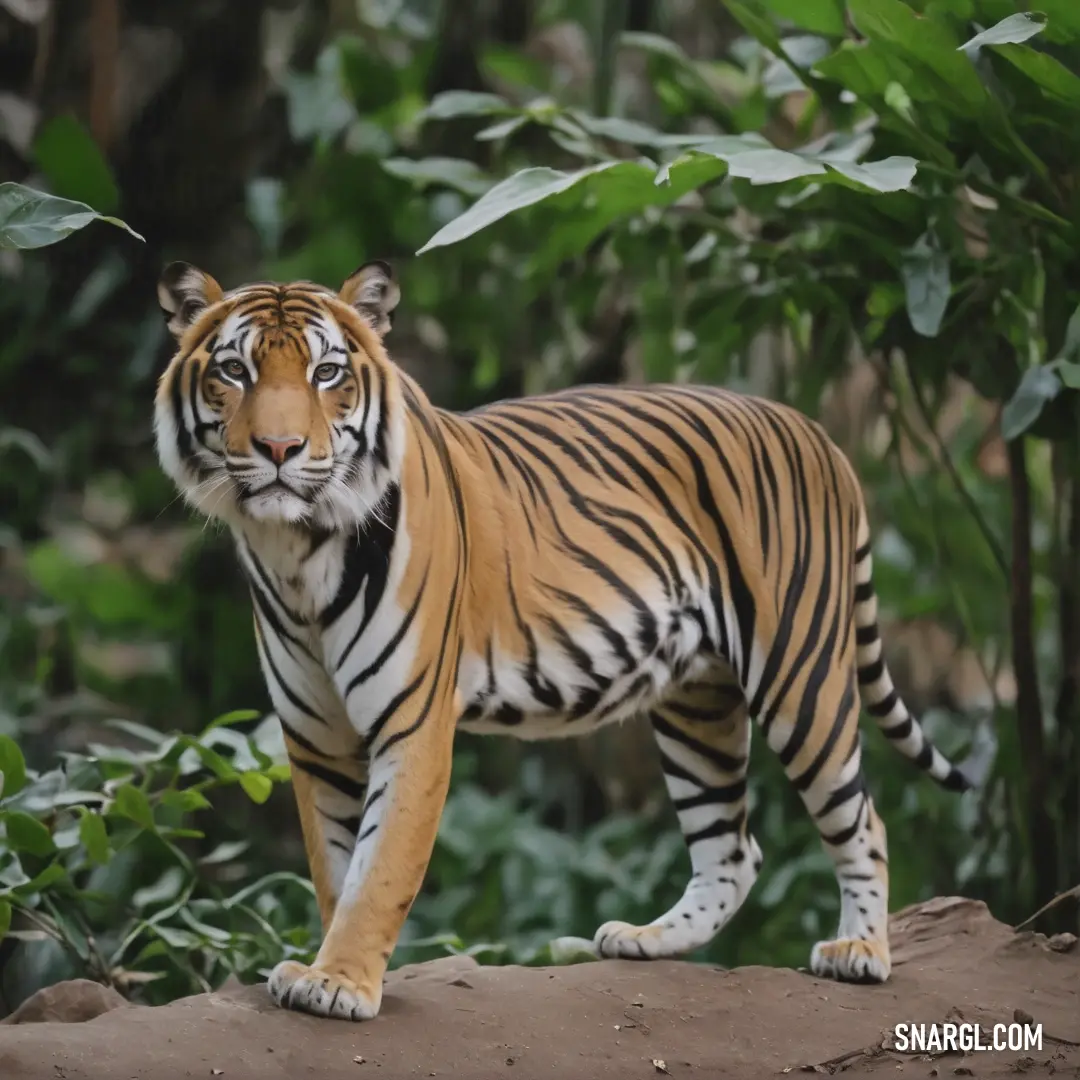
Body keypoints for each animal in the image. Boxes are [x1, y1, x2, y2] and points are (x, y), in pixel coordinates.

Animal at [152, 259, 972, 1019]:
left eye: (327, 373)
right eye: (234, 370)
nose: (280, 448)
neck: (297, 552)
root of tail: (815, 431)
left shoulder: (412, 724)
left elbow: (378, 868)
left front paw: (340, 984)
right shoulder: (317, 736)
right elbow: (335, 866)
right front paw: (328, 966)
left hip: (800, 677)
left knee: (861, 817)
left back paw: (860, 950)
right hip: (698, 700)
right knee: (732, 848)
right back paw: (648, 939)